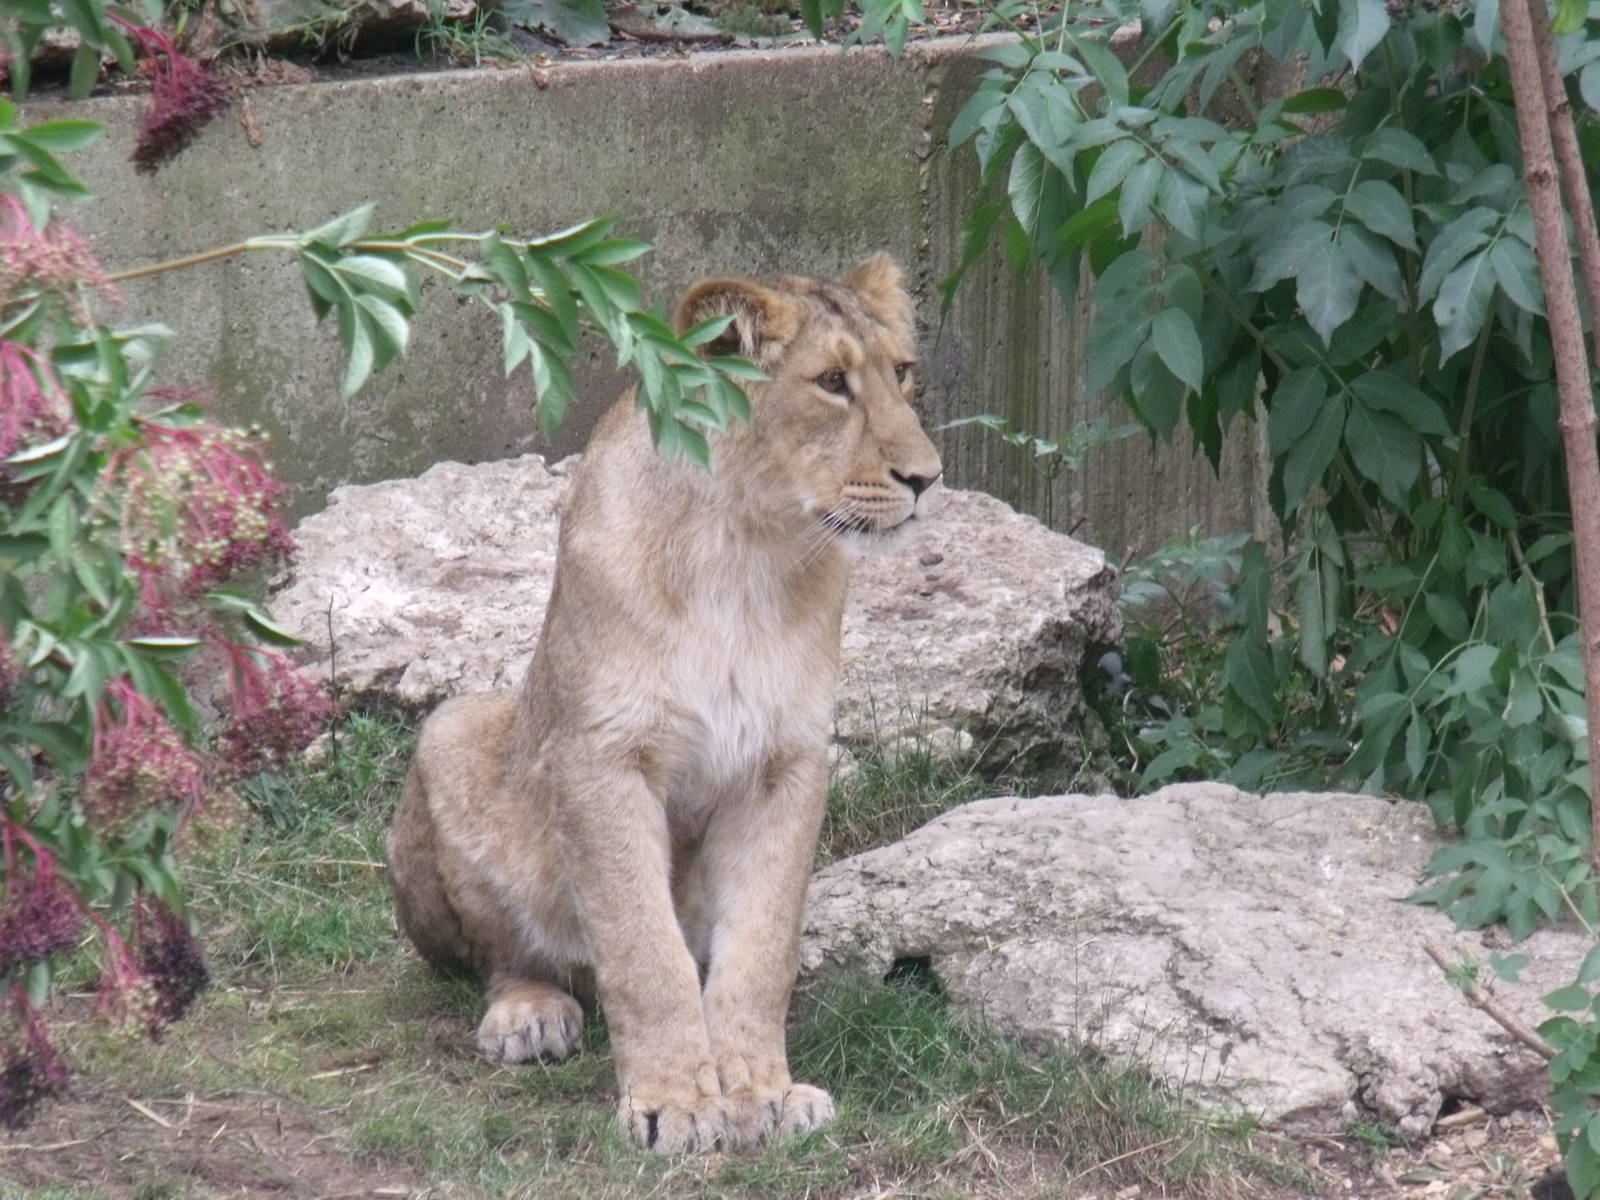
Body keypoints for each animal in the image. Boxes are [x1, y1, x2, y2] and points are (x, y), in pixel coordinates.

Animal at [386, 253, 942, 1154]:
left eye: (902, 373)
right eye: (831, 383)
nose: (928, 479)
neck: (748, 548)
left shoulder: (786, 762)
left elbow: (760, 953)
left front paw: (761, 1093)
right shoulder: (603, 756)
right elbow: (643, 948)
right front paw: (675, 1102)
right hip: (454, 731)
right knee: (508, 958)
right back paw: (530, 1015)